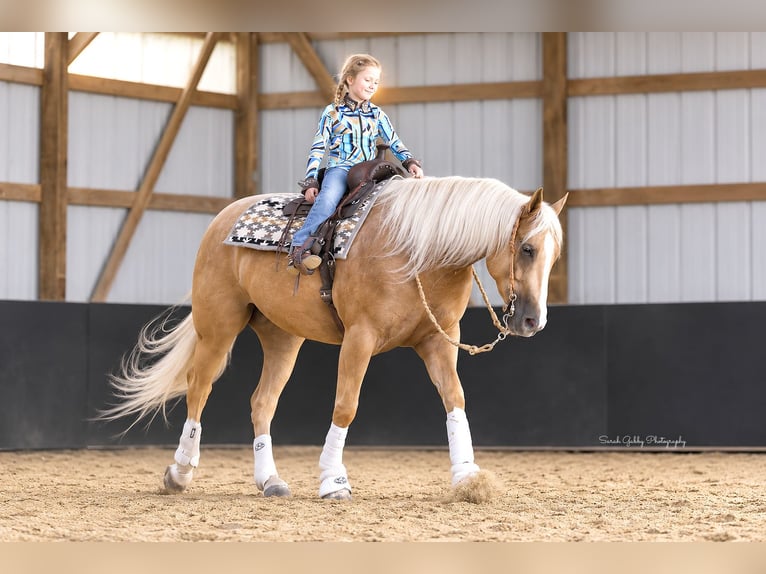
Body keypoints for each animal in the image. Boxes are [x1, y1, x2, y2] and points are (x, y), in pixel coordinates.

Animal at [103, 176, 567, 500]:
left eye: (553, 255)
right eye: (527, 249)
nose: (533, 321)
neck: (419, 251)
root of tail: (221, 220)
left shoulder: (438, 341)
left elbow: (455, 400)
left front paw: (468, 476)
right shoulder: (360, 338)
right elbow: (346, 406)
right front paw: (333, 480)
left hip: (282, 338)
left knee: (262, 402)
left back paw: (270, 480)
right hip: (218, 326)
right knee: (199, 388)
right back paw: (180, 471)